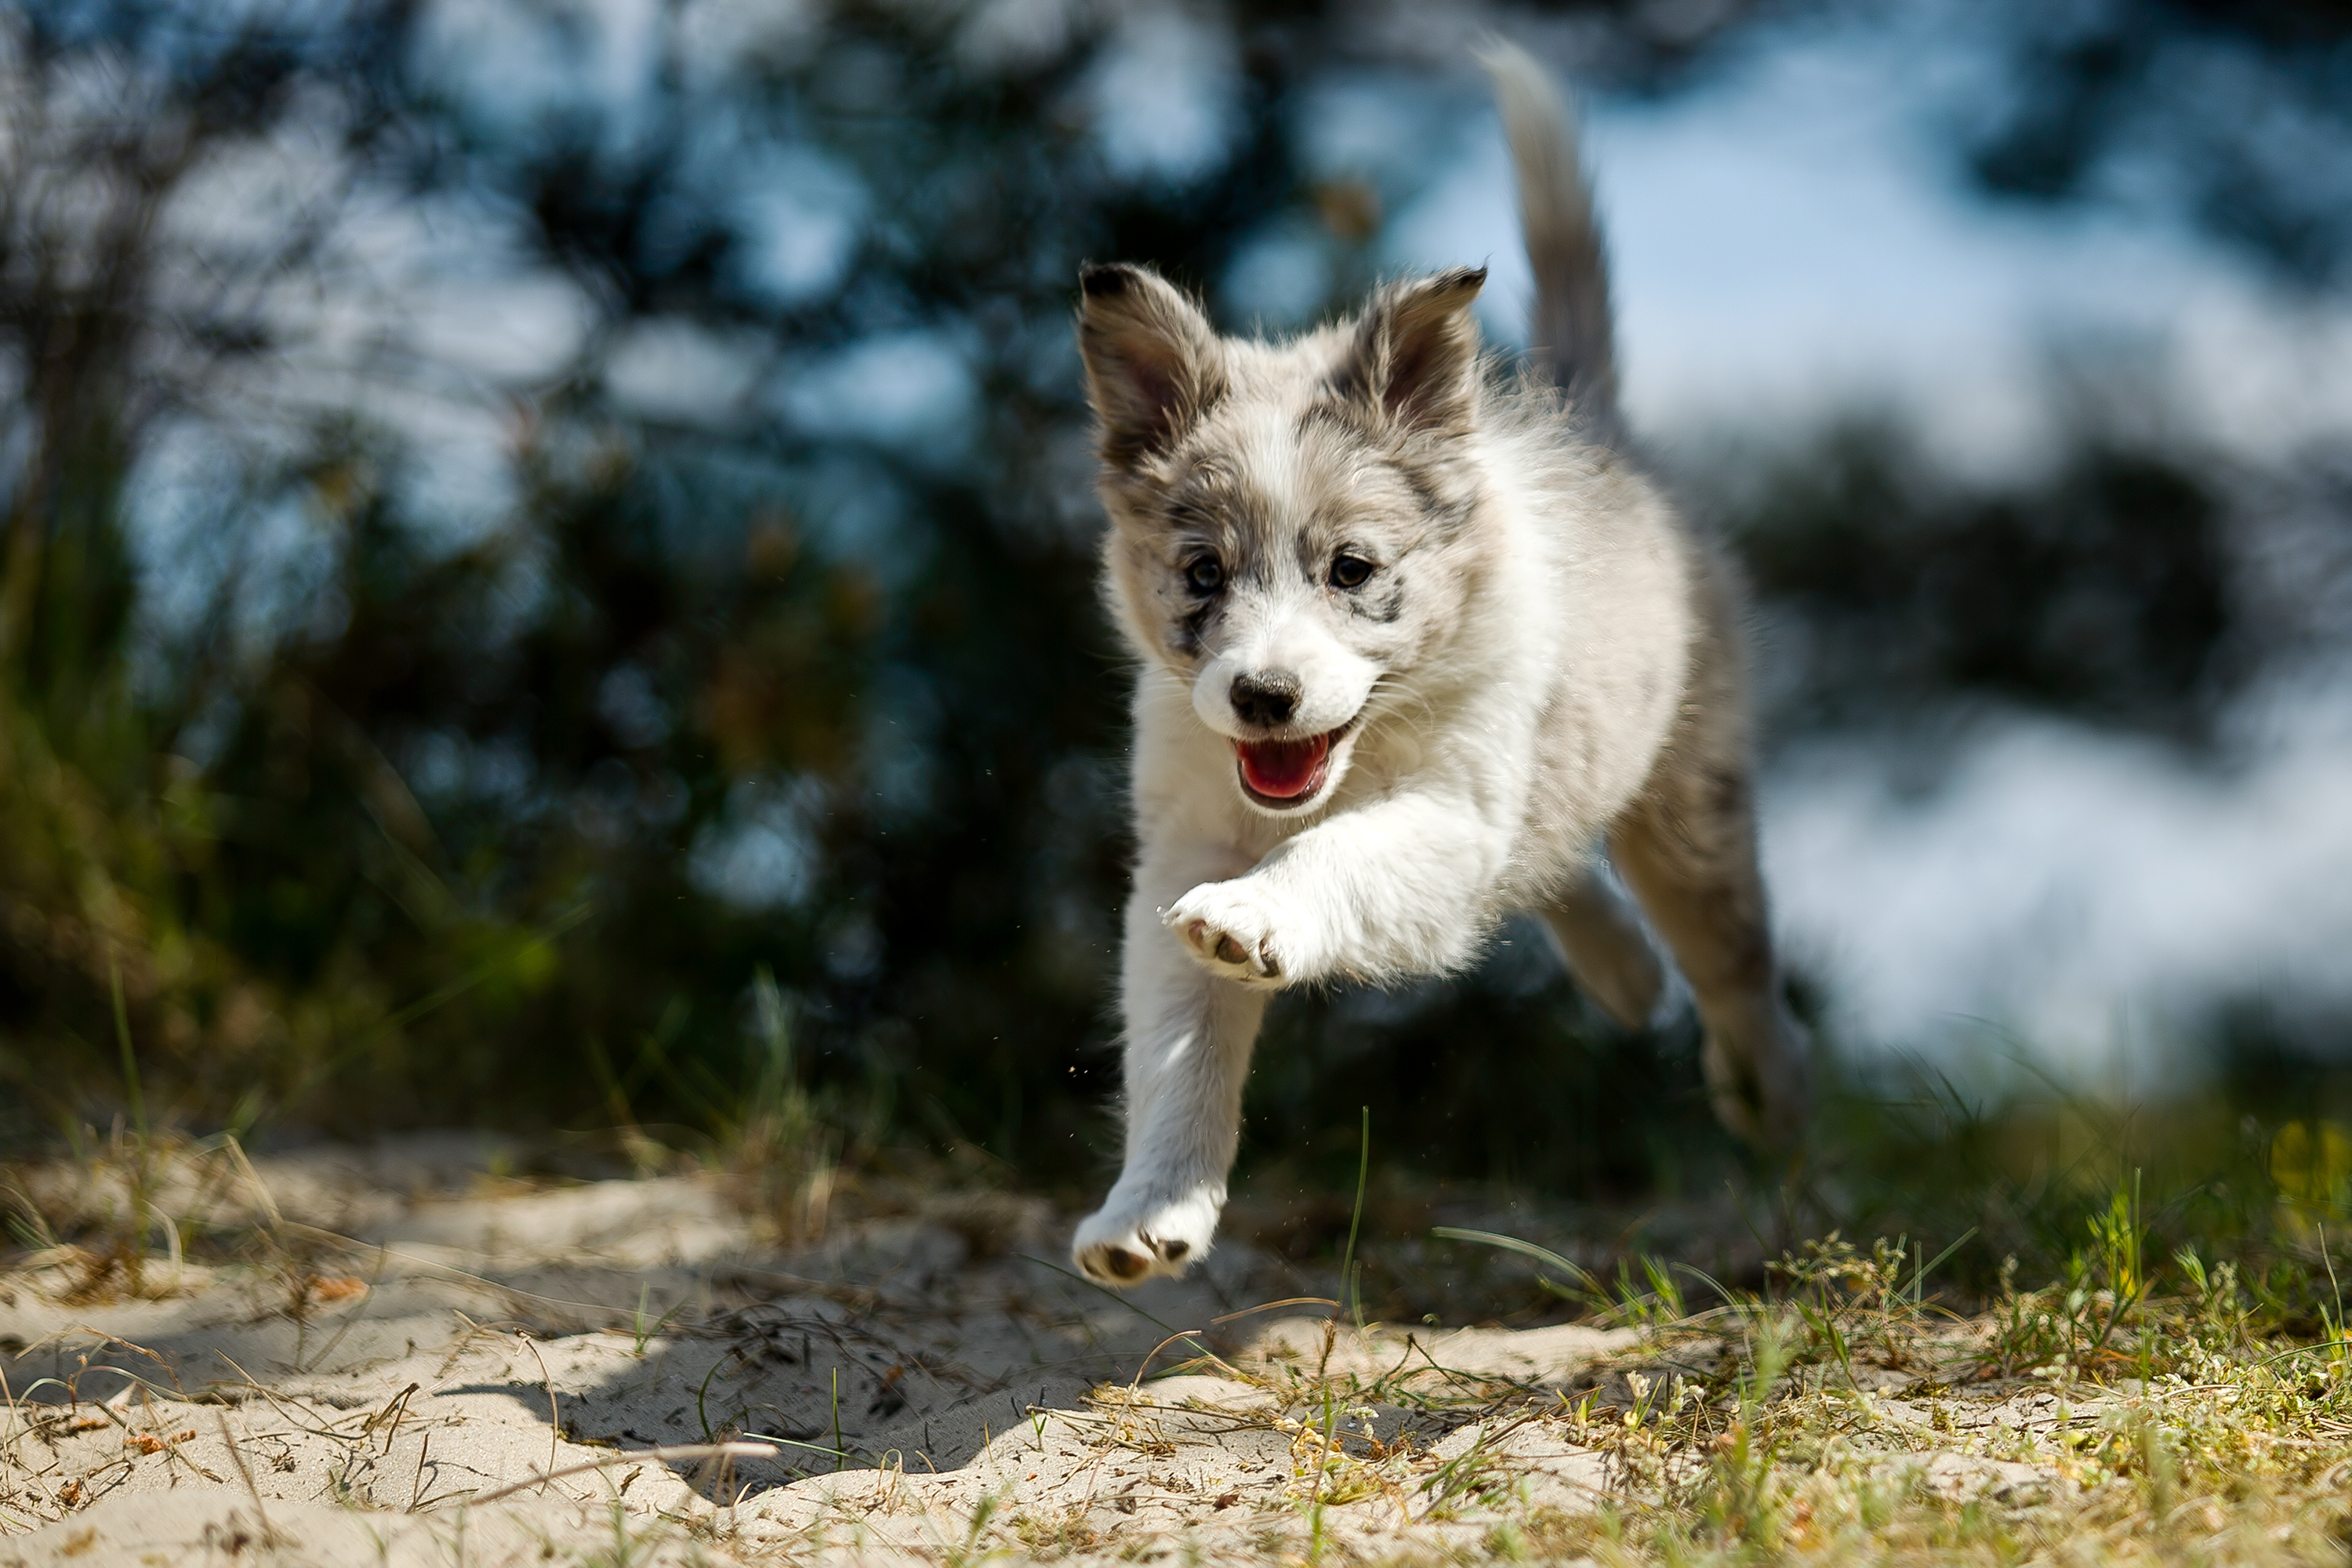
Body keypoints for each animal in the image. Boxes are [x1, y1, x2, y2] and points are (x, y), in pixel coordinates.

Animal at [1077, 45, 1806, 1288]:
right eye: (1204, 573)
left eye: (1353, 568)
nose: (1263, 698)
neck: (1360, 748)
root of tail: (1600, 431)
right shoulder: (1186, 839)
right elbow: (1178, 1046)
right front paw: (1150, 1210)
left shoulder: (1452, 809)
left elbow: (1335, 855)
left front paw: (1259, 916)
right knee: (1563, 867)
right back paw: (1626, 975)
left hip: (1687, 803)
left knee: (1730, 954)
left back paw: (1763, 1086)